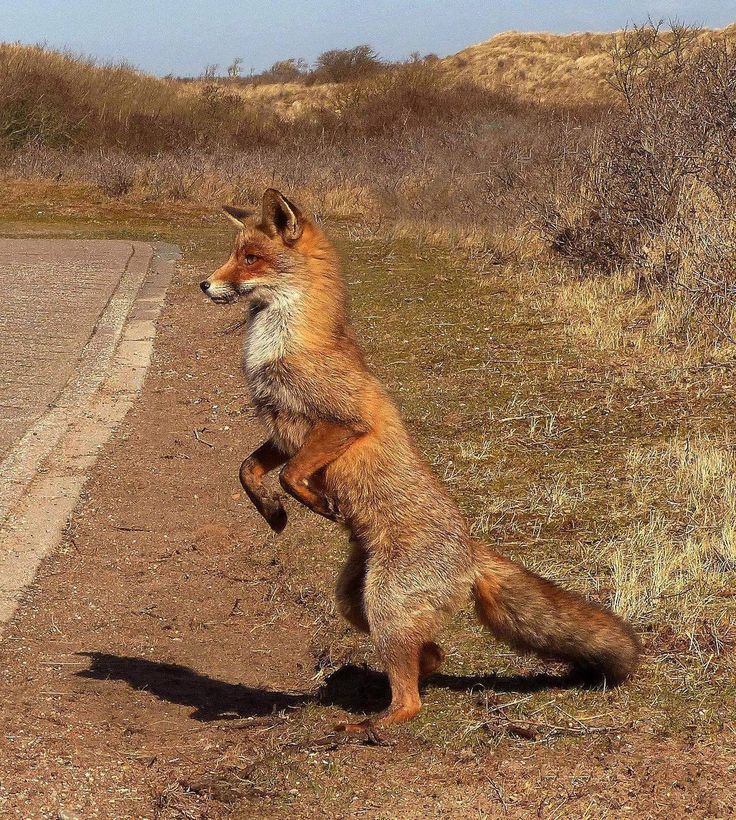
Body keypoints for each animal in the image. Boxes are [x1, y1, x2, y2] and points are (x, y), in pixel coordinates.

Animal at [200, 189, 640, 732]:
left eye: (250, 259)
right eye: (234, 254)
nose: (205, 284)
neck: (284, 343)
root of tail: (471, 551)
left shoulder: (344, 422)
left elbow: (291, 474)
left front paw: (313, 503)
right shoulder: (282, 431)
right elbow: (248, 471)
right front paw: (273, 514)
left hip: (384, 603)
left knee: (411, 698)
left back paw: (373, 726)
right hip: (357, 600)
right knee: (428, 656)